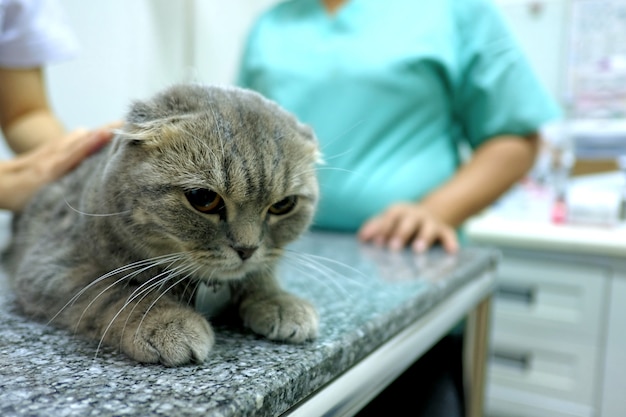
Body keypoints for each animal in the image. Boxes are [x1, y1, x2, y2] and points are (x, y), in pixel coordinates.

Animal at [2, 83, 320, 364]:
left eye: (283, 205)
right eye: (204, 198)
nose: (247, 249)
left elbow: (260, 274)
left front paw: (279, 300)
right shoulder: (53, 267)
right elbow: (117, 293)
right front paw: (166, 321)